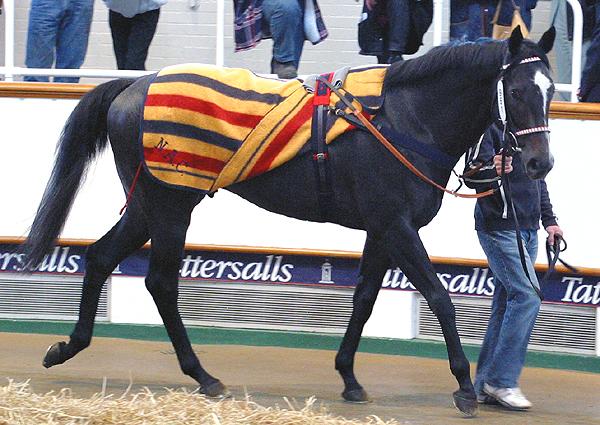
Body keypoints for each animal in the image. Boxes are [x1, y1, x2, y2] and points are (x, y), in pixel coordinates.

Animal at [22, 27, 555, 416]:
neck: (405, 119)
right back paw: (202, 375)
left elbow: (364, 299)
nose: (539, 163)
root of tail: (134, 85)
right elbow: (440, 298)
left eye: (550, 91)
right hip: (170, 206)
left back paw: (68, 347)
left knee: (100, 257)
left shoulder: (381, 230)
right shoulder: (398, 227)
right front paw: (464, 385)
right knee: (160, 282)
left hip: (147, 207)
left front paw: (349, 377)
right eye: (517, 90)